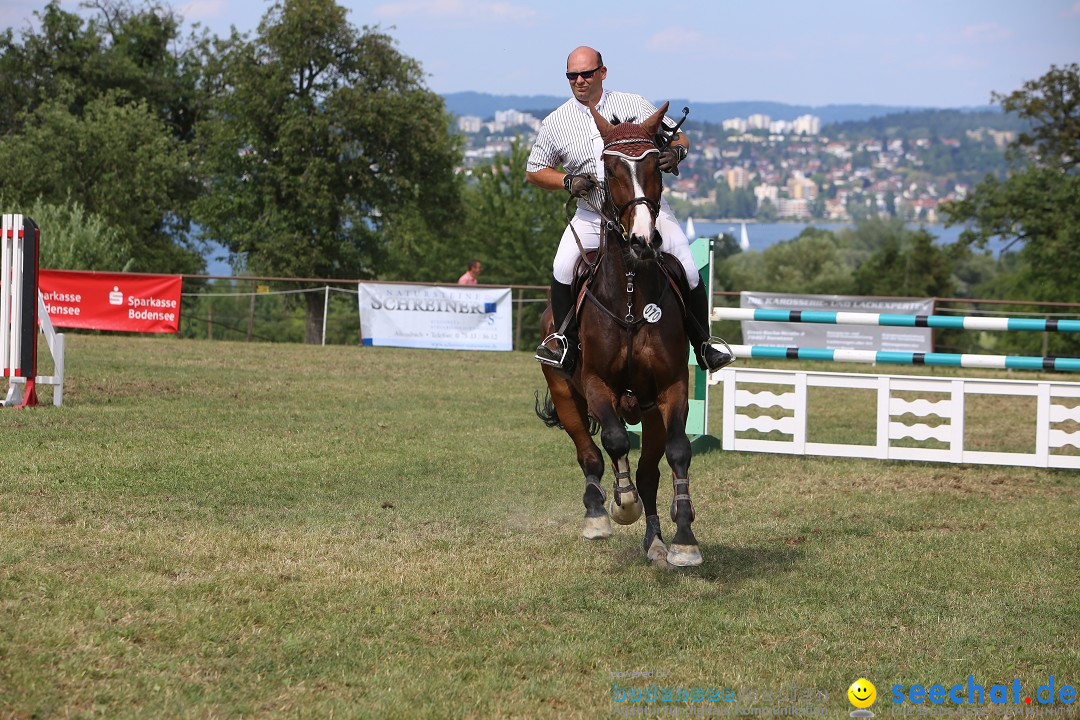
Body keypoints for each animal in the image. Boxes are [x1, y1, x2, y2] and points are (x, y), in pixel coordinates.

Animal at [535, 104, 704, 569]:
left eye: (656, 164)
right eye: (608, 170)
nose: (643, 240)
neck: (630, 290)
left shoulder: (670, 389)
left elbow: (677, 453)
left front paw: (684, 539)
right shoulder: (596, 385)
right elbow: (611, 441)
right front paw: (620, 504)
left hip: (647, 412)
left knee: (646, 471)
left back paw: (655, 540)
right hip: (564, 392)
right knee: (590, 454)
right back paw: (598, 513)